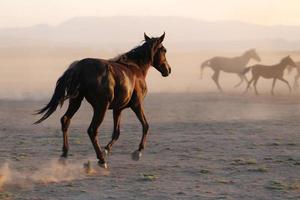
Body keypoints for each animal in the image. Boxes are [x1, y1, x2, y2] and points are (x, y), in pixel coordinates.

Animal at [34, 33, 171, 169]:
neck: (134, 68)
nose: (168, 70)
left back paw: (65, 155)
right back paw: (101, 160)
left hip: (76, 101)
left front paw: (106, 149)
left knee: (65, 120)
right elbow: (145, 125)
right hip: (101, 107)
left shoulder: (118, 109)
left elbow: (116, 132)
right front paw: (138, 152)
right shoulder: (136, 105)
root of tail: (79, 67)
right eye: (164, 50)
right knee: (92, 130)